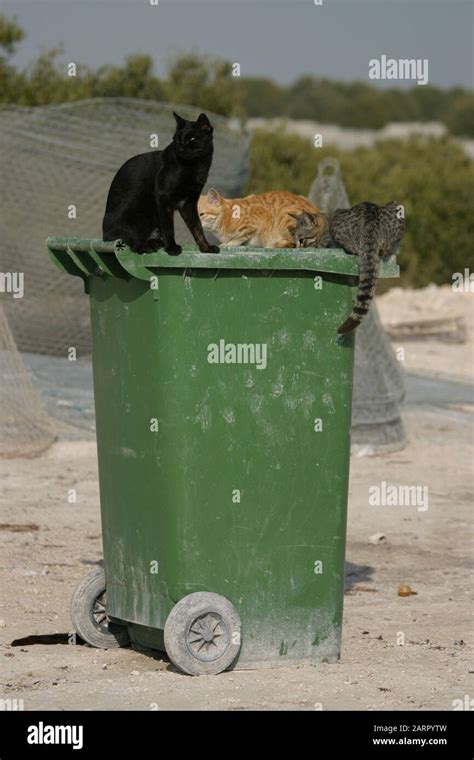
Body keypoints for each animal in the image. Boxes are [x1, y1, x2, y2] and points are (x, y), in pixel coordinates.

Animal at [102, 111, 220, 255]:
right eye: (177, 139)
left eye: (192, 139)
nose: (181, 147)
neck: (196, 167)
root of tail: (104, 236)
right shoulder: (164, 197)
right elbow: (168, 226)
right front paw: (172, 248)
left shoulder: (189, 203)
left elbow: (196, 227)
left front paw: (206, 248)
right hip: (142, 216)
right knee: (134, 245)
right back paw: (149, 246)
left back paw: (156, 243)